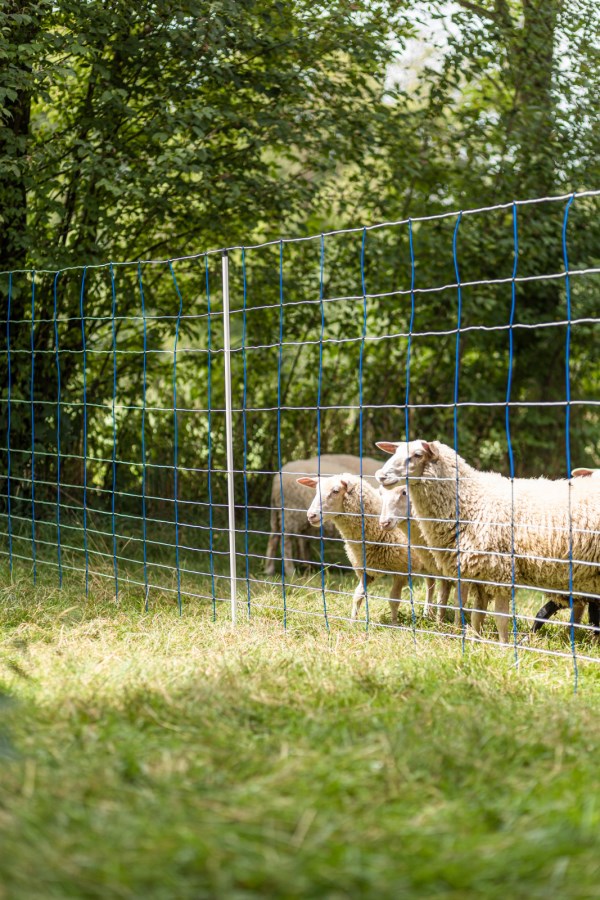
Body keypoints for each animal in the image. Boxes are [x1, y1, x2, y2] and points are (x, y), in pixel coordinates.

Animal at [298, 472, 428, 624]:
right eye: (316, 490)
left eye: (335, 491)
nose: (311, 515)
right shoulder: (364, 570)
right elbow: (358, 595)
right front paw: (352, 622)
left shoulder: (402, 570)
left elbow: (394, 599)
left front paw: (394, 623)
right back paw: (428, 614)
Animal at [376, 442, 600, 640]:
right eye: (395, 451)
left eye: (417, 454)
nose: (381, 475)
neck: (471, 500)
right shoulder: (479, 573)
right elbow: (477, 615)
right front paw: (476, 641)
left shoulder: (498, 571)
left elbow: (500, 617)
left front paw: (504, 647)